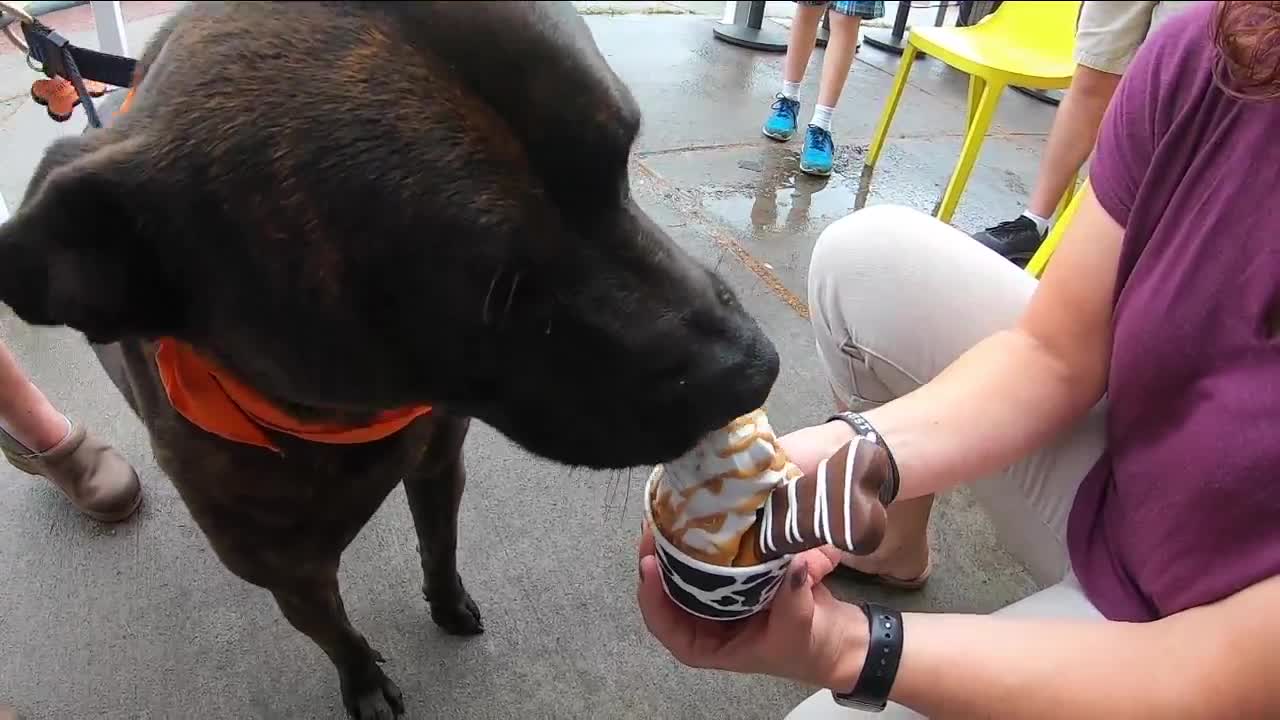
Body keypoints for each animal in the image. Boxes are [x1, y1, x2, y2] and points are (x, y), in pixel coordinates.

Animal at [0, 1, 778, 717]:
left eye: (620, 166)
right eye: (496, 292)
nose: (757, 368)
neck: (342, 421)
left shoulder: (438, 464)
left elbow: (440, 545)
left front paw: (448, 601)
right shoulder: (286, 571)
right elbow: (335, 633)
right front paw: (365, 680)